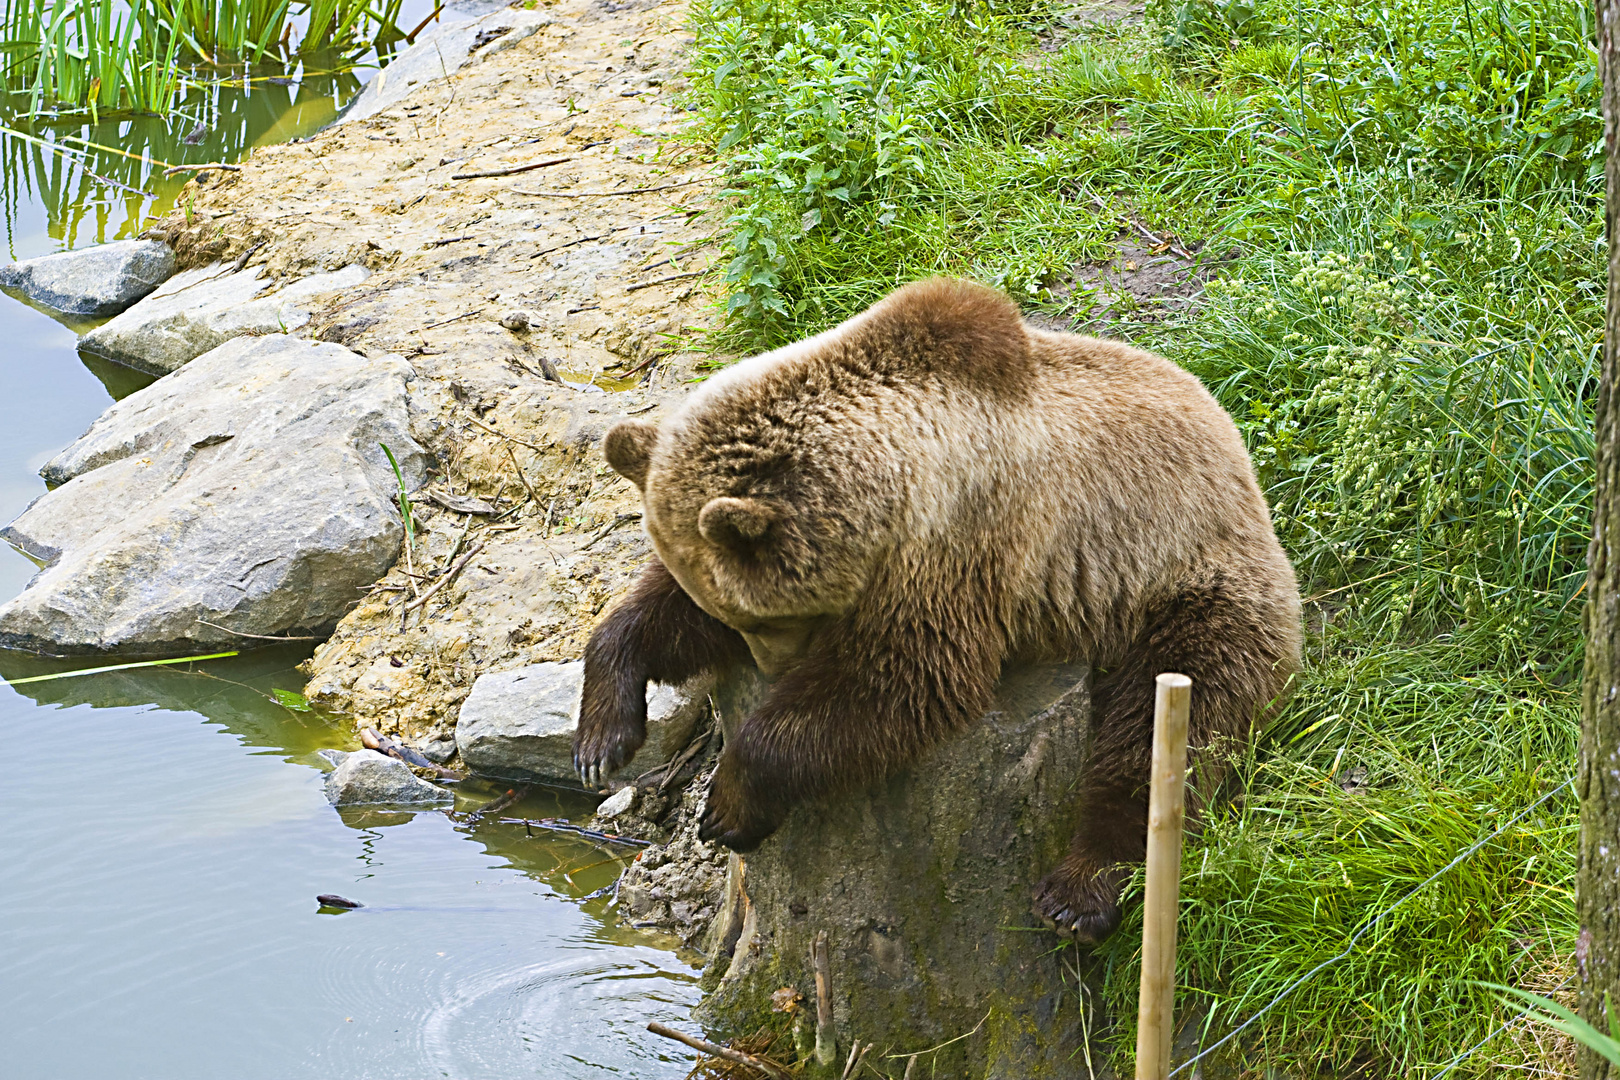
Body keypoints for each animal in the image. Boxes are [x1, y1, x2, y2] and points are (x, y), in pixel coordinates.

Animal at [570, 278, 1302, 945]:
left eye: (765, 619)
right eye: (738, 618)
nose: (772, 666)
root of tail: (1244, 465)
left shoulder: (956, 543)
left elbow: (911, 679)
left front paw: (727, 805)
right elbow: (656, 613)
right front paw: (601, 740)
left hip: (1185, 586)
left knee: (1165, 729)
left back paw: (1077, 894)